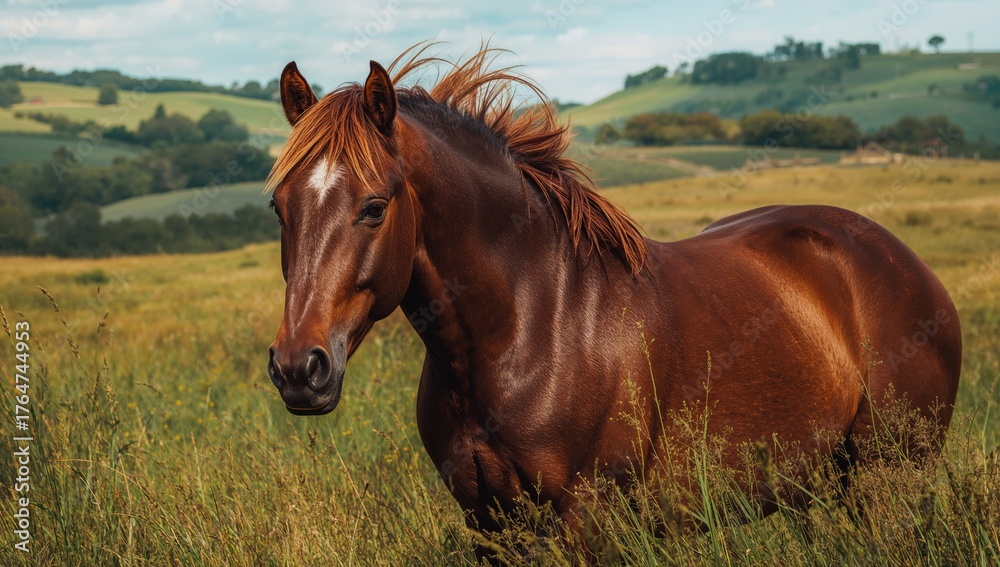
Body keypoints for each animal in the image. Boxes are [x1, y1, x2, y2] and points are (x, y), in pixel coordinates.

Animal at [264, 45, 962, 557]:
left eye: (374, 207)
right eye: (278, 207)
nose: (300, 369)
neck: (530, 325)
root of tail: (907, 265)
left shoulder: (590, 522)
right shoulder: (491, 527)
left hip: (887, 476)